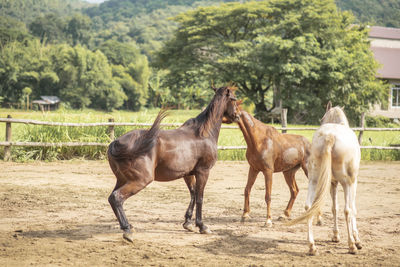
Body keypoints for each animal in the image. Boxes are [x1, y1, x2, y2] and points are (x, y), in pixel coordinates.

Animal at [106, 86, 239, 243]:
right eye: (234, 99)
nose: (237, 116)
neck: (203, 134)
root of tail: (115, 143)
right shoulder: (203, 172)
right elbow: (200, 197)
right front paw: (202, 226)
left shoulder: (188, 174)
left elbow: (193, 194)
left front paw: (188, 223)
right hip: (140, 180)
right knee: (117, 197)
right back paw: (127, 230)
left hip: (122, 179)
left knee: (111, 198)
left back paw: (129, 227)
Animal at [288, 102, 362, 255]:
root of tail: (330, 136)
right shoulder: (353, 182)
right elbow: (352, 208)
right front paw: (357, 239)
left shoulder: (332, 183)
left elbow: (334, 208)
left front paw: (335, 236)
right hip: (347, 183)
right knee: (347, 210)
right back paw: (351, 245)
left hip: (314, 180)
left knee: (308, 207)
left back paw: (312, 246)